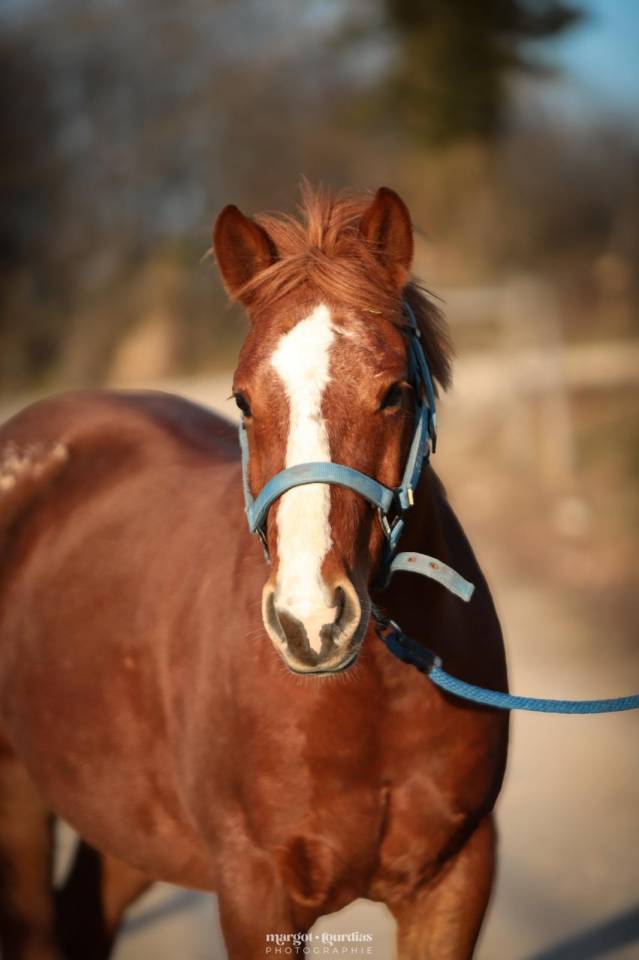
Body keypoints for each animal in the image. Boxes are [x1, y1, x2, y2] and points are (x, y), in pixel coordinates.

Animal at [0, 185, 508, 959]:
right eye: (242, 399)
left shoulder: (455, 877)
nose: (311, 621)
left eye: (394, 391)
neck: (375, 698)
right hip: (19, 799)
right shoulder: (254, 890)